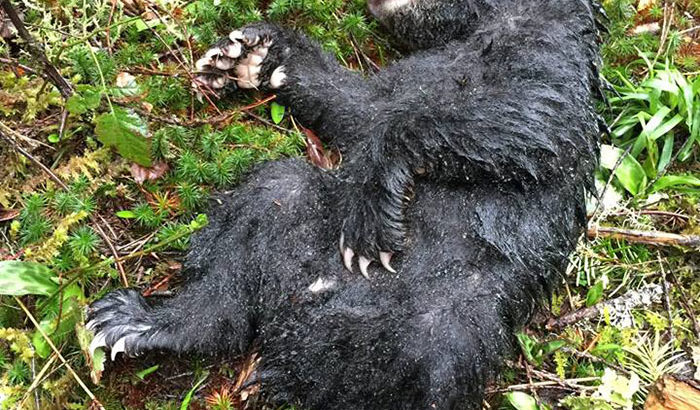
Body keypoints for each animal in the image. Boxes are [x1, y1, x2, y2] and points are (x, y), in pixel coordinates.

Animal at [87, 0, 602, 408]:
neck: (474, 25)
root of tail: (300, 310)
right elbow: (361, 106)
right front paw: (258, 54)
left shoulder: (547, 43)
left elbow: (529, 112)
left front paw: (371, 215)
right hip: (295, 241)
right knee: (269, 202)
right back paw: (141, 322)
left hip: (447, 317)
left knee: (418, 360)